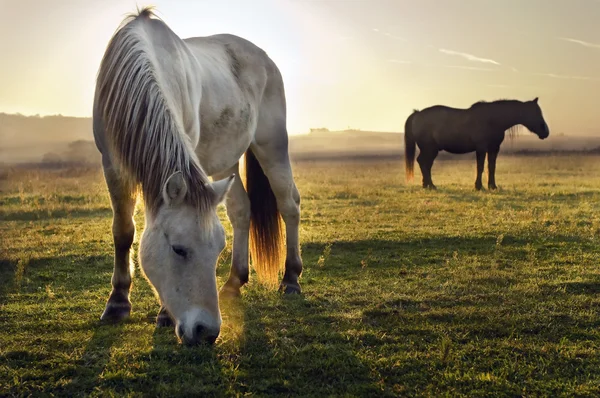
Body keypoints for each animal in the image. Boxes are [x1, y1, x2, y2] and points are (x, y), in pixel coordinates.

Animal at [94, 7, 304, 346]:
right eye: (179, 249)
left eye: (217, 250)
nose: (207, 332)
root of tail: (264, 57)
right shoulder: (111, 164)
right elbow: (123, 231)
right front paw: (117, 302)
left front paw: (163, 314)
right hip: (225, 164)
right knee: (241, 210)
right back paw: (234, 282)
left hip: (272, 145)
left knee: (289, 204)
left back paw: (291, 279)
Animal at [406, 97, 552, 189]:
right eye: (535, 113)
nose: (546, 131)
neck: (492, 120)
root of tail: (417, 114)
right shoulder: (481, 148)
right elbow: (480, 167)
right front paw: (478, 186)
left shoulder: (494, 148)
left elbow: (491, 167)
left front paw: (492, 186)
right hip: (430, 149)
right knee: (424, 163)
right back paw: (431, 185)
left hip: (431, 150)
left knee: (425, 163)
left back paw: (427, 185)